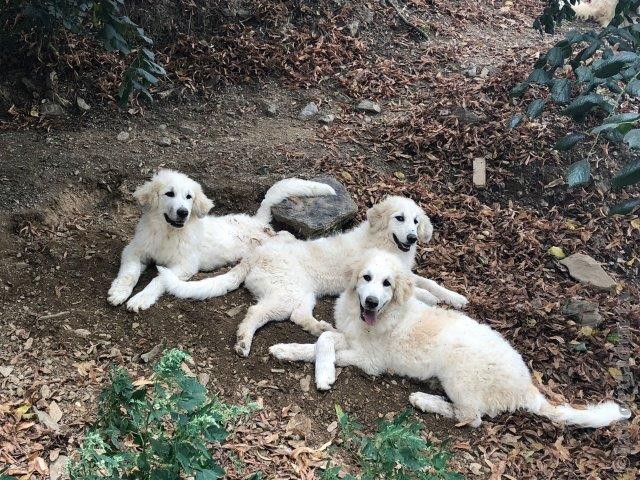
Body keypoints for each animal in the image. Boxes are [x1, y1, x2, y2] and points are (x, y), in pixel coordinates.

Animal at [106, 171, 336, 314]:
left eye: (189, 197)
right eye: (169, 193)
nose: (183, 212)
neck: (168, 233)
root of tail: (257, 221)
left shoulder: (185, 265)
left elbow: (159, 280)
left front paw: (140, 299)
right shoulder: (134, 250)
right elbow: (129, 273)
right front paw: (119, 292)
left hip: (267, 241)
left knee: (286, 235)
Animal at [159, 195, 470, 356]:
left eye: (416, 221)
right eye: (399, 218)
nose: (413, 238)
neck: (386, 243)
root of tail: (254, 255)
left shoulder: (404, 272)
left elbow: (427, 281)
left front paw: (456, 297)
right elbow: (417, 288)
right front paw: (430, 298)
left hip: (303, 293)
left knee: (298, 316)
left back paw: (322, 328)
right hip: (285, 294)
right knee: (255, 313)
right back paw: (244, 341)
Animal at [268, 249, 632, 430]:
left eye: (387, 284)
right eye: (366, 278)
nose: (370, 302)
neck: (375, 318)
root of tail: (526, 387)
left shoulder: (371, 361)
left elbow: (326, 343)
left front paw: (325, 374)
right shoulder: (348, 335)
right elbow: (321, 340)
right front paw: (286, 350)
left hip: (459, 372)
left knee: (471, 417)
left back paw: (424, 400)